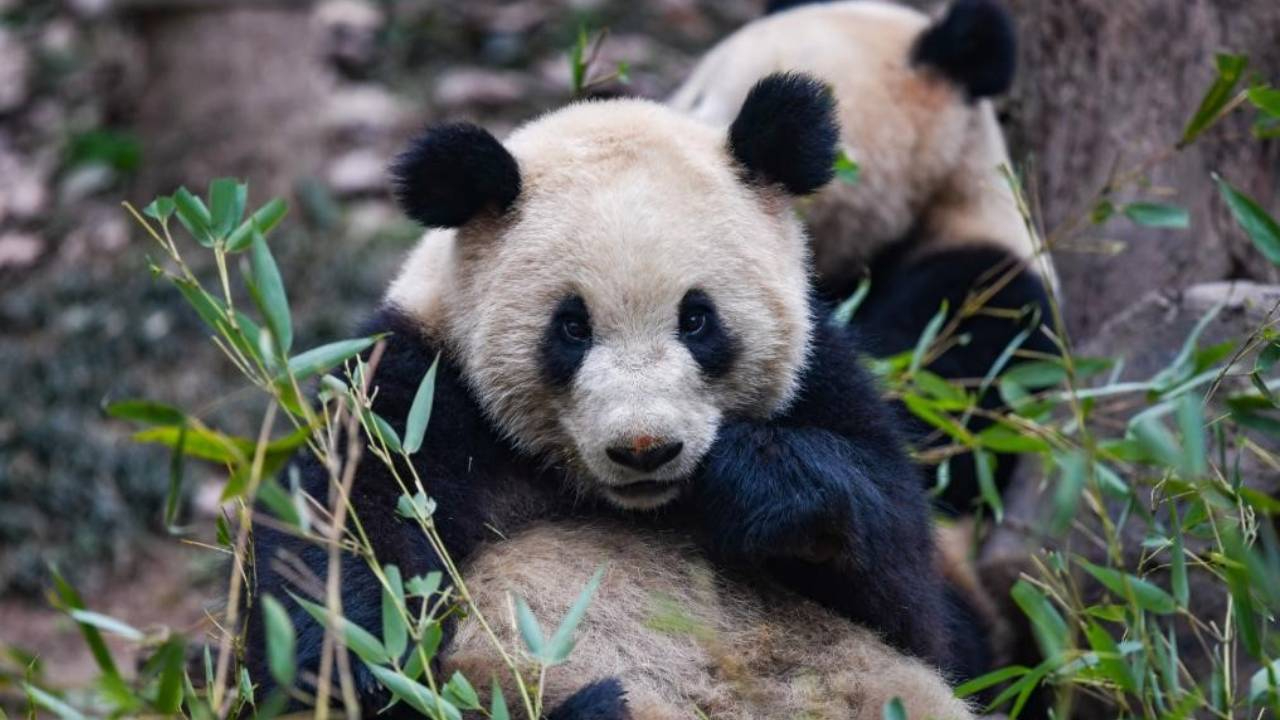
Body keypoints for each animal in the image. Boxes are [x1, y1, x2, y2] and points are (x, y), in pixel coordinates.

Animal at [245, 74, 979, 719]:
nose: (645, 449)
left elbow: (908, 590)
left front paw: (753, 481)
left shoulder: (820, 374)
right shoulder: (416, 393)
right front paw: (360, 658)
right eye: (572, 326)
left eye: (697, 319)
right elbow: (340, 568)